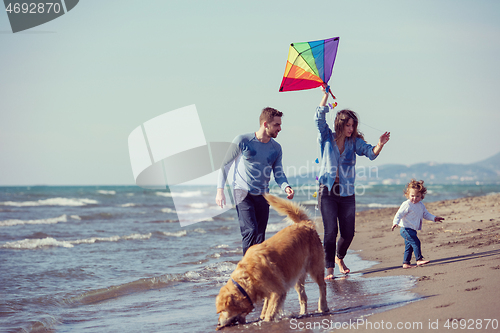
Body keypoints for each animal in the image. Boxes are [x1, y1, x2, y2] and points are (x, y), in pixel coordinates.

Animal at [215, 193, 328, 328]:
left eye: (222, 311)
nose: (218, 323)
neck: (247, 277)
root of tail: (305, 224)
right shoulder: (270, 290)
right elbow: (266, 305)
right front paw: (263, 315)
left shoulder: (277, 291)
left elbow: (270, 310)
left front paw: (266, 321)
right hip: (295, 274)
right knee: (303, 296)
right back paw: (302, 313)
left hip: (315, 267)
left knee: (322, 285)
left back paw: (323, 307)